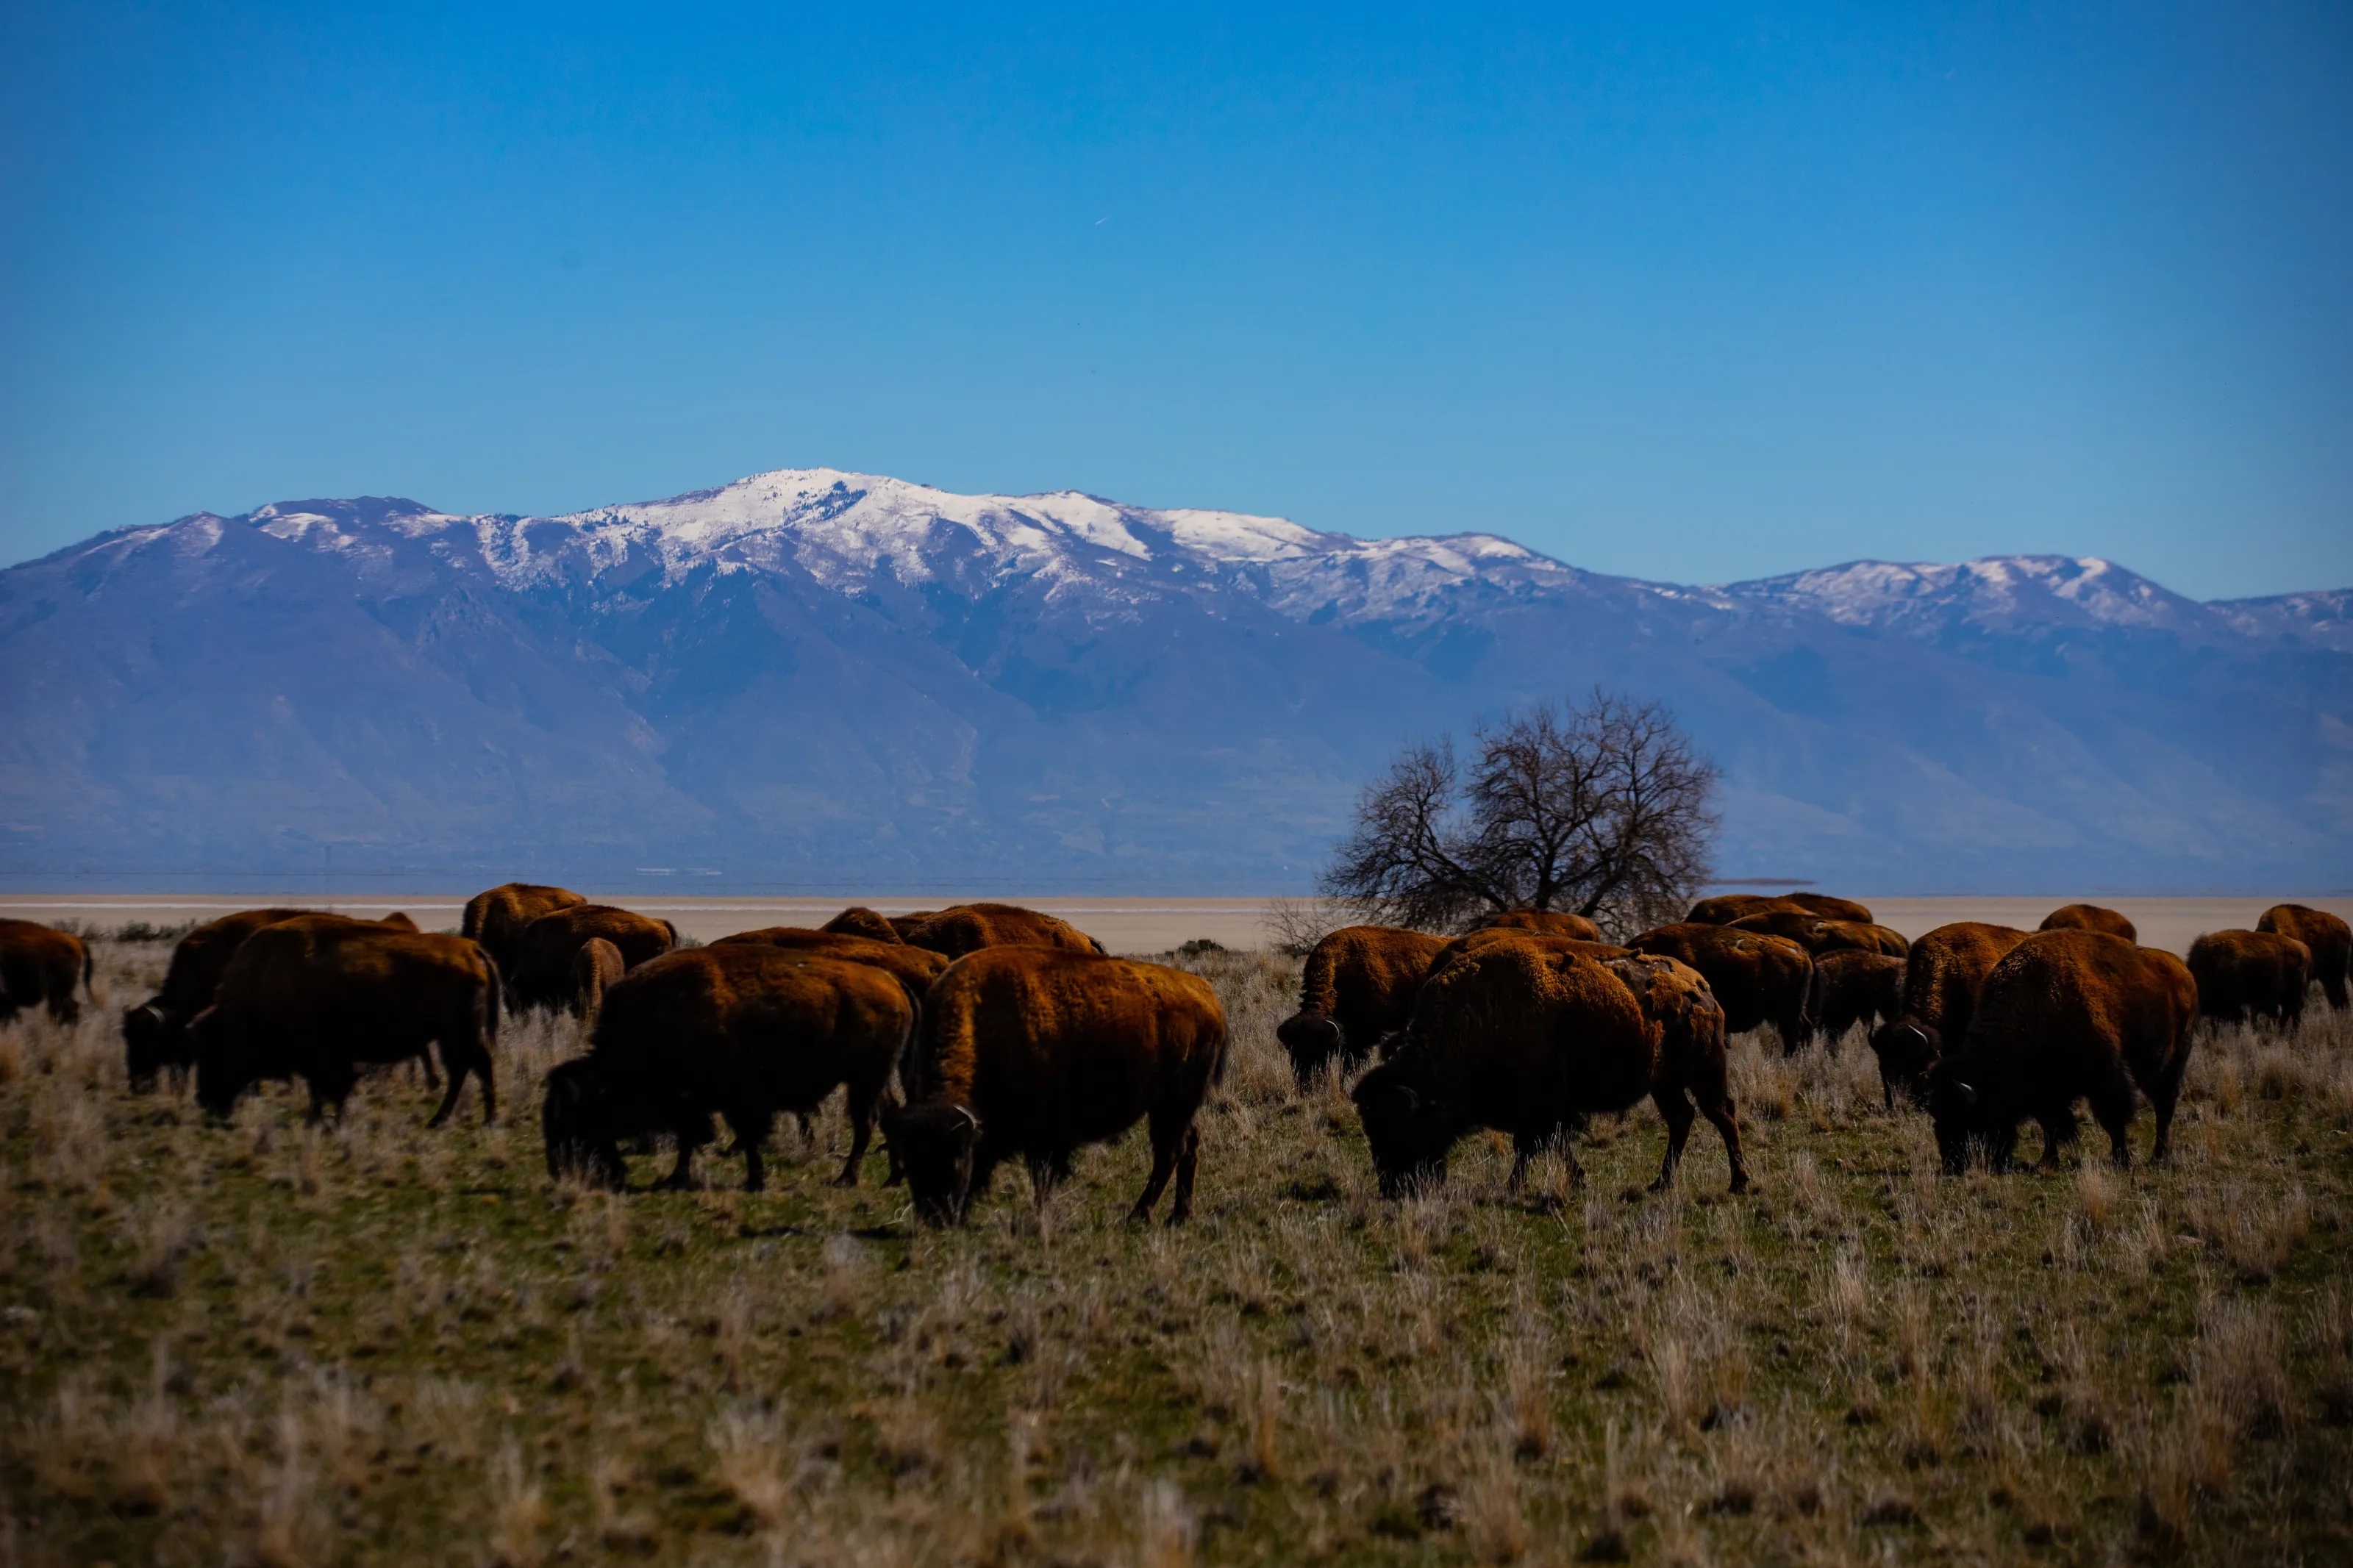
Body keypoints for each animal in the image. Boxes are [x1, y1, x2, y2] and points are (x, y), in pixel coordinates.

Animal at [193, 915, 498, 1125]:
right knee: (467, 1069)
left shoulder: (320, 1056)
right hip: (454, 1035)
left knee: (472, 1067)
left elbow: (326, 1088)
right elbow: (331, 1088)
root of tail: (470, 949)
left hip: (457, 1034)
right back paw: (458, 1119)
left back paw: (468, 1120)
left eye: (215, 1049)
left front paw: (319, 1121)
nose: (204, 1100)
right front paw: (328, 1119)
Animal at [544, 947, 915, 1191]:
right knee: (888, 1115)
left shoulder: (733, 1101)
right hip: (873, 1080)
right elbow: (692, 1138)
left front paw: (753, 1180)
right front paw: (678, 1176)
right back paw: (893, 1177)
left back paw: (846, 1179)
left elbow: (739, 1136)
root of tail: (892, 981)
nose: (560, 1170)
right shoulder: (699, 1103)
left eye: (577, 1117)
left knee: (866, 1124)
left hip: (863, 1080)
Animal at [882, 948, 1226, 1227]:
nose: (934, 1217)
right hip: (1176, 1108)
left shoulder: (1045, 1138)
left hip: (1172, 1106)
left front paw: (1041, 1215)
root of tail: (1208, 998)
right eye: (910, 1162)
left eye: (955, 1159)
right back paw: (1179, 1216)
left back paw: (1138, 1216)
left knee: (1170, 1152)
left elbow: (1043, 1177)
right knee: (1188, 1146)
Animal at [1927, 930, 2195, 1172]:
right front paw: (2048, 1161)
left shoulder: (2106, 1079)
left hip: (2172, 1065)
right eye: (1937, 1113)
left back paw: (2158, 1157)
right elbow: (2051, 1126)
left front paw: (2121, 1161)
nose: (1951, 1164)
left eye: (1966, 1116)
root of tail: (2183, 971)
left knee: (2164, 1109)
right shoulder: (2046, 1092)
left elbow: (2113, 1119)